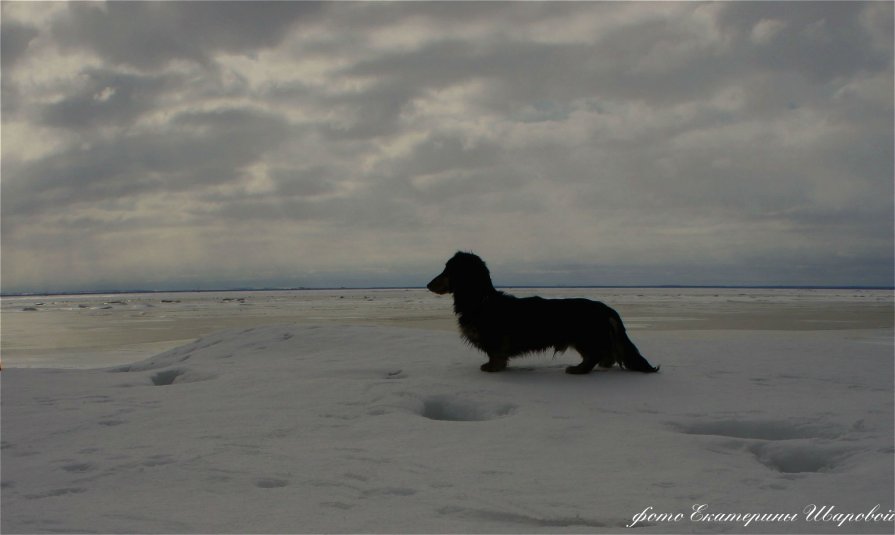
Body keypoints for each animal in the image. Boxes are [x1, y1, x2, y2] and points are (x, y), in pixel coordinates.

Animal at [428, 252, 656, 374]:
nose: (428, 285)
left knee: (596, 354)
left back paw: (578, 369)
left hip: (583, 338)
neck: (482, 301)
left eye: (448, 270)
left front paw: (492, 367)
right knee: (608, 354)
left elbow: (496, 356)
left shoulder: (495, 341)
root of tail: (606, 307)